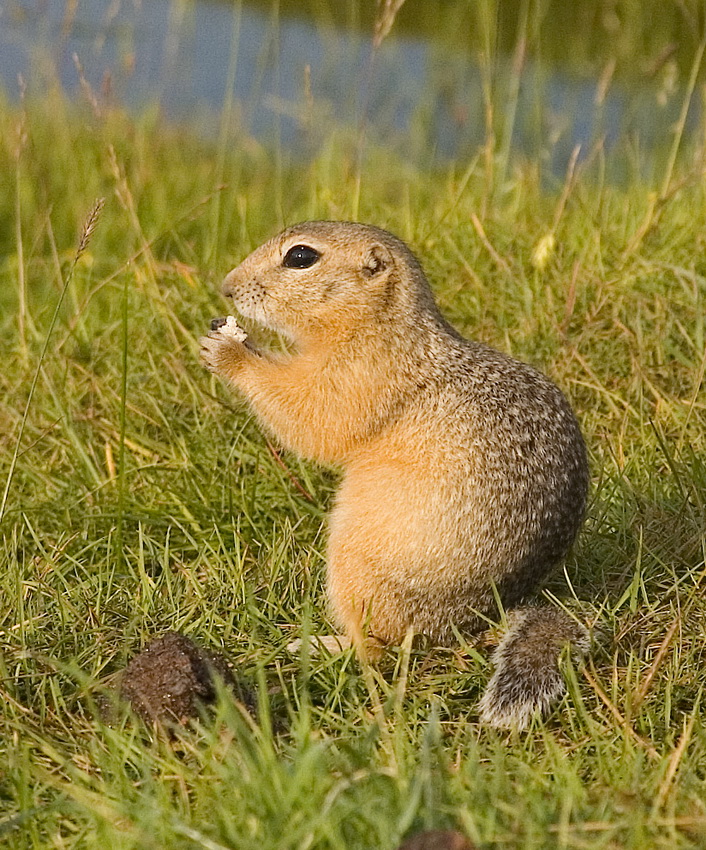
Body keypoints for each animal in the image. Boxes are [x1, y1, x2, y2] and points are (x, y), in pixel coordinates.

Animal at [199, 222, 588, 724]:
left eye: (301, 257)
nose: (226, 287)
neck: (380, 324)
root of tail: (475, 622)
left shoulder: (361, 373)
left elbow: (314, 416)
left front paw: (230, 352)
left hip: (356, 573)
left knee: (380, 651)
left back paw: (324, 645)